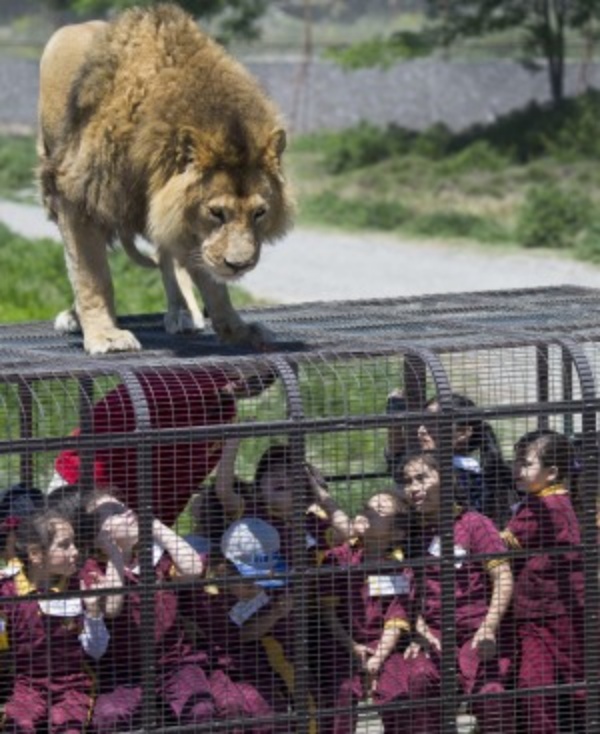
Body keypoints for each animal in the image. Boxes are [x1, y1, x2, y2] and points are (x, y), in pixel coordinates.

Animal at [36, 2, 294, 354]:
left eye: (259, 213)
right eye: (216, 213)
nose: (239, 265)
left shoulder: (183, 219)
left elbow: (212, 282)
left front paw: (237, 329)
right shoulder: (77, 196)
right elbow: (91, 275)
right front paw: (105, 335)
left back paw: (183, 313)